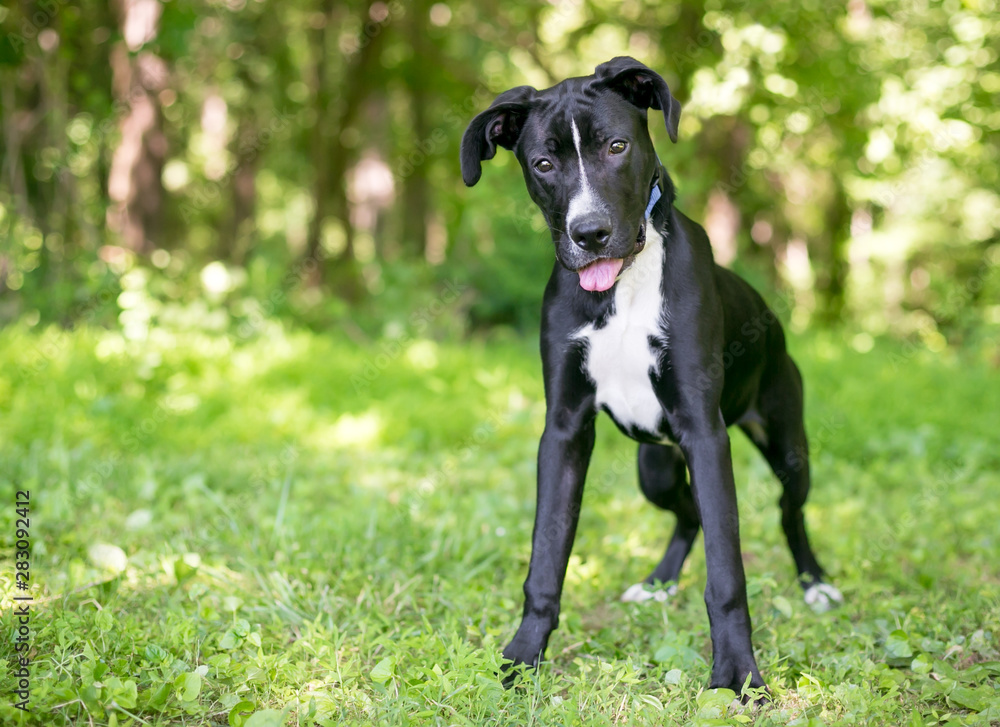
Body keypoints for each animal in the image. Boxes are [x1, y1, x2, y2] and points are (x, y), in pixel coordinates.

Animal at [458, 57, 836, 692]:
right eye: (543, 164)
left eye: (617, 146)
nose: (589, 234)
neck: (623, 288)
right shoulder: (564, 431)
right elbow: (546, 558)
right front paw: (521, 659)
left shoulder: (705, 434)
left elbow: (727, 575)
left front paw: (737, 676)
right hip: (654, 468)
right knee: (689, 513)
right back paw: (660, 582)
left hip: (788, 446)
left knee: (790, 513)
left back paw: (816, 583)